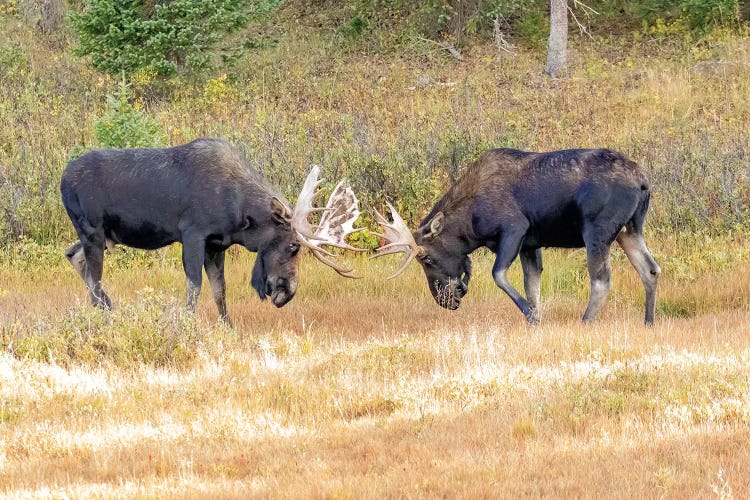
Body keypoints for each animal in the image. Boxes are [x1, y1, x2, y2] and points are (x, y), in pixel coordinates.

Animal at [61, 138, 364, 324]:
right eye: (293, 246)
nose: (287, 292)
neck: (240, 216)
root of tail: (62, 180)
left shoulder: (217, 245)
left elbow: (220, 289)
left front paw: (227, 327)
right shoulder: (193, 234)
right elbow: (194, 285)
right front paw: (188, 323)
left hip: (101, 236)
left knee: (74, 257)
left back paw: (107, 309)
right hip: (91, 230)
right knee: (94, 276)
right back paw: (104, 316)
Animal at [374, 146, 660, 324]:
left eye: (427, 259)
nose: (443, 300)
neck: (469, 225)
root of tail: (643, 181)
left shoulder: (515, 229)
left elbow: (499, 275)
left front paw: (531, 316)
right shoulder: (531, 245)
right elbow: (532, 285)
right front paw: (536, 317)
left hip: (597, 231)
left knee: (601, 280)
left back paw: (585, 321)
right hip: (630, 230)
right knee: (651, 269)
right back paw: (648, 321)